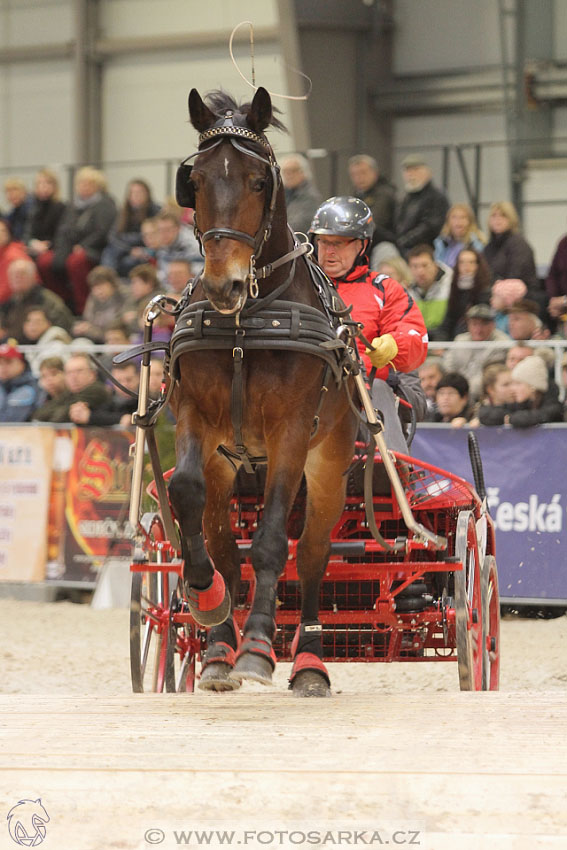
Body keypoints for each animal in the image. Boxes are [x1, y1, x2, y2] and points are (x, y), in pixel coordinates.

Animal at [166, 86, 358, 696]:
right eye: (197, 180)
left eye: (257, 181)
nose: (223, 283)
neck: (246, 323)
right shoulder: (195, 417)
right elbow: (184, 492)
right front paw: (207, 605)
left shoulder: (292, 431)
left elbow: (274, 537)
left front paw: (257, 647)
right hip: (228, 465)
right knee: (225, 545)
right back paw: (217, 649)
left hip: (329, 467)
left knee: (315, 554)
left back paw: (309, 661)